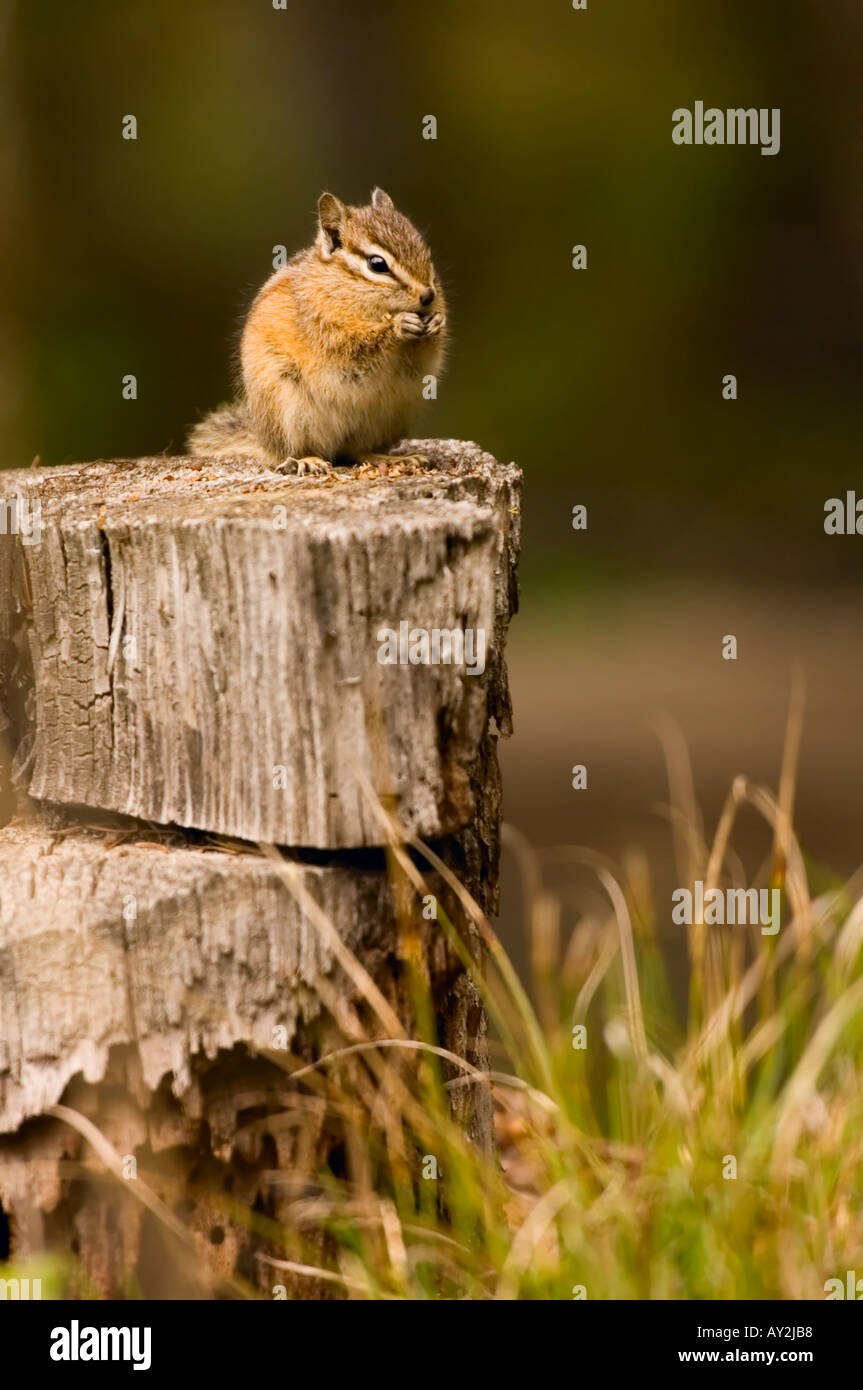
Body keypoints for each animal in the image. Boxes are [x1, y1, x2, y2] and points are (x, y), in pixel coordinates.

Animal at [187, 188, 446, 476]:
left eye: (427, 255)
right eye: (377, 264)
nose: (428, 295)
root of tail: (261, 436)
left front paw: (436, 323)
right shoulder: (325, 326)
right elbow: (355, 343)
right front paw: (398, 326)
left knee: (356, 451)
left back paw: (395, 459)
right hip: (287, 410)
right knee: (286, 454)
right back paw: (306, 460)